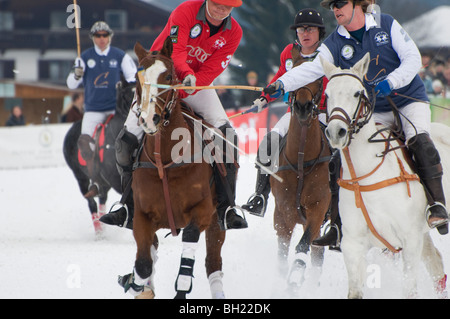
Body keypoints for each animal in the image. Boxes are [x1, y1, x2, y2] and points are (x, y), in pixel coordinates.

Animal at [63, 78, 134, 238]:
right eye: (126, 96)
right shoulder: (116, 180)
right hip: (81, 177)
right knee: (91, 202)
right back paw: (99, 233)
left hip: (103, 182)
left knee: (102, 199)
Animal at [118, 37, 227, 300]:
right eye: (138, 79)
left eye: (168, 76)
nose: (149, 120)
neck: (165, 160)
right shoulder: (142, 215)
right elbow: (144, 263)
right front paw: (137, 284)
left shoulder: (202, 211)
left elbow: (188, 252)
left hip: (218, 222)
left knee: (213, 263)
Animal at [270, 50, 330, 290]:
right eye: (293, 70)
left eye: (319, 79)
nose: (303, 107)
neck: (302, 159)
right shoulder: (282, 214)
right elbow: (281, 256)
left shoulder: (318, 208)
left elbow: (302, 247)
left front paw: (294, 281)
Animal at [322, 53, 444, 300]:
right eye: (327, 94)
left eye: (357, 93)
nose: (336, 132)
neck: (365, 174)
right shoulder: (352, 244)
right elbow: (355, 291)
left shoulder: (410, 239)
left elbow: (409, 291)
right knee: (436, 264)